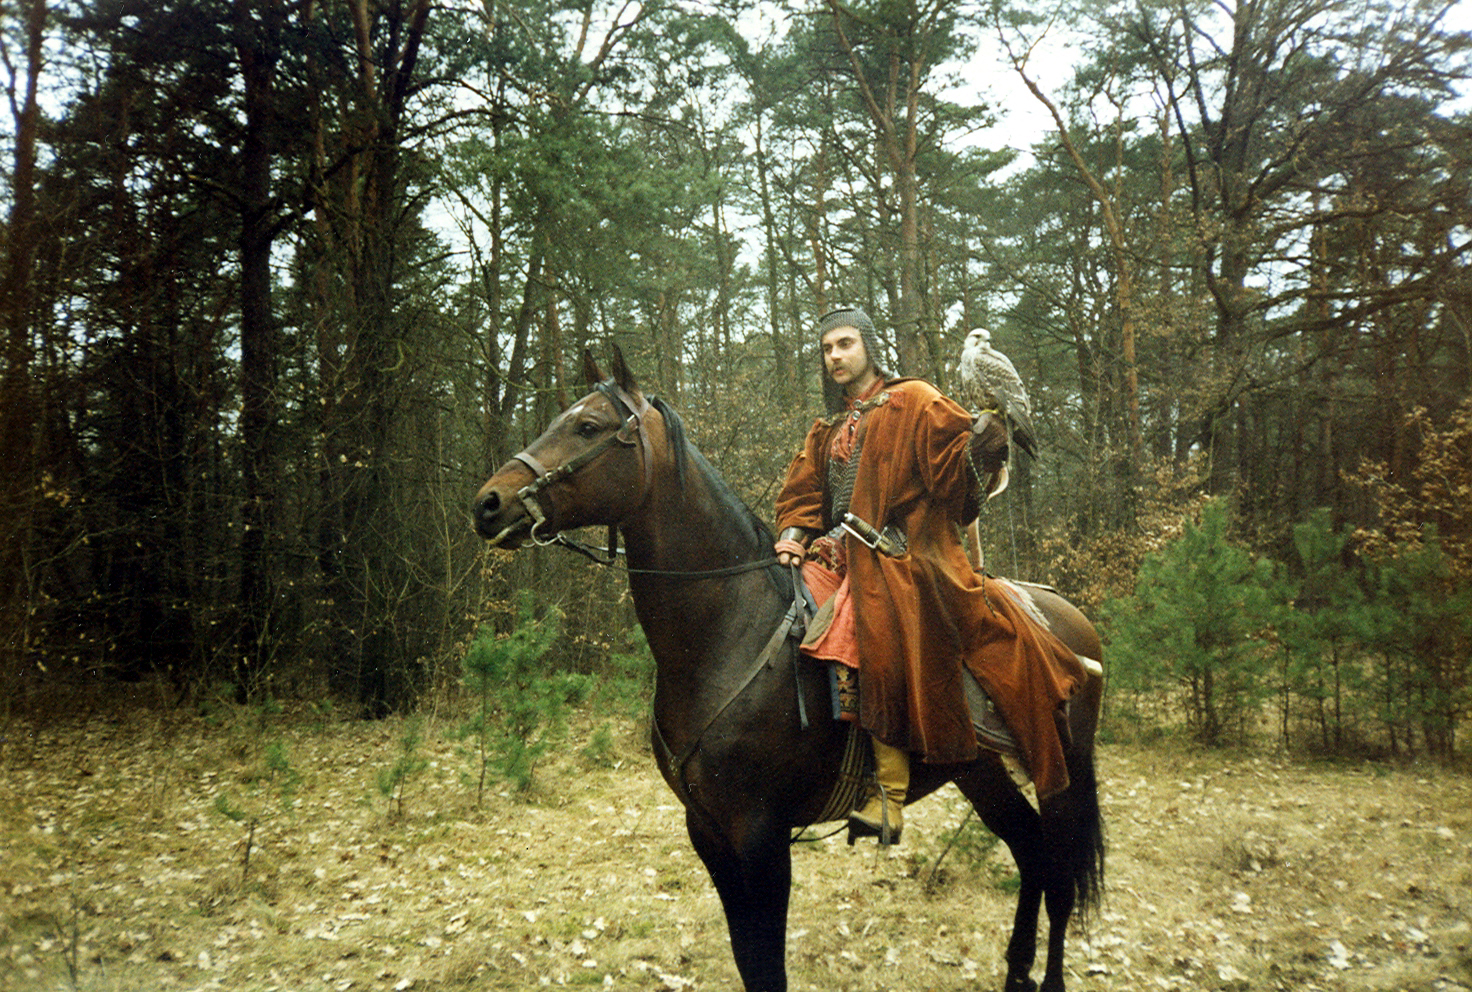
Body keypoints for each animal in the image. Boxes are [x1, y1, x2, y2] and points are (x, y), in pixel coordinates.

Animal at [472, 349, 1105, 992]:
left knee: (1059, 872)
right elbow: (748, 959)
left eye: (588, 427)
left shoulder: (761, 836)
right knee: (1031, 853)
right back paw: (1017, 972)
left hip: (1060, 769)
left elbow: (768, 964)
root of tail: (1071, 615)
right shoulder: (709, 833)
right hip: (980, 771)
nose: (488, 503)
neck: (727, 632)